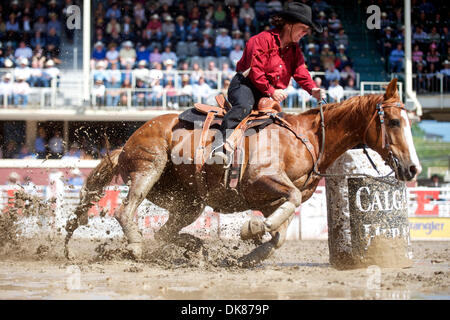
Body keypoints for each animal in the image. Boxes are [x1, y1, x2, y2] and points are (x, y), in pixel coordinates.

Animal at [64, 79, 422, 266]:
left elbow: (280, 234)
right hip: (147, 169)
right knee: (126, 210)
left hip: (188, 201)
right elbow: (289, 202)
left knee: (164, 233)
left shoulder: (271, 199)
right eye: (393, 121)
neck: (305, 139)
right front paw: (252, 229)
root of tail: (123, 145)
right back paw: (139, 247)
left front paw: (251, 252)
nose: (413, 168)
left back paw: (194, 248)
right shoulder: (260, 180)